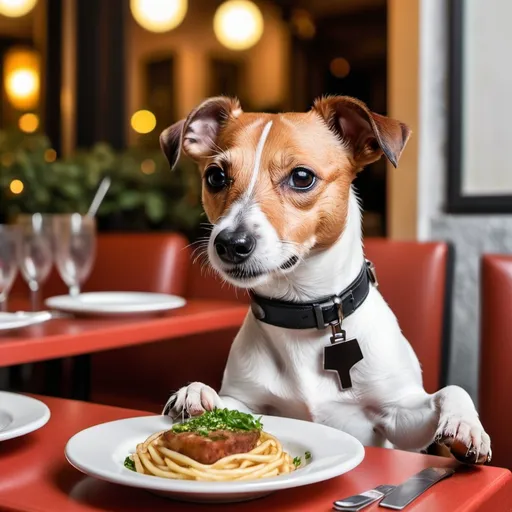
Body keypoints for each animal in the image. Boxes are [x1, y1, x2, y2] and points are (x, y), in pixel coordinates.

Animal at [160, 95, 492, 464]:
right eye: (216, 176)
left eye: (302, 177)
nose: (230, 243)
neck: (304, 311)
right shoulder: (249, 401)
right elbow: (227, 404)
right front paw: (196, 393)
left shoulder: (400, 420)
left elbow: (450, 390)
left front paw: (465, 425)